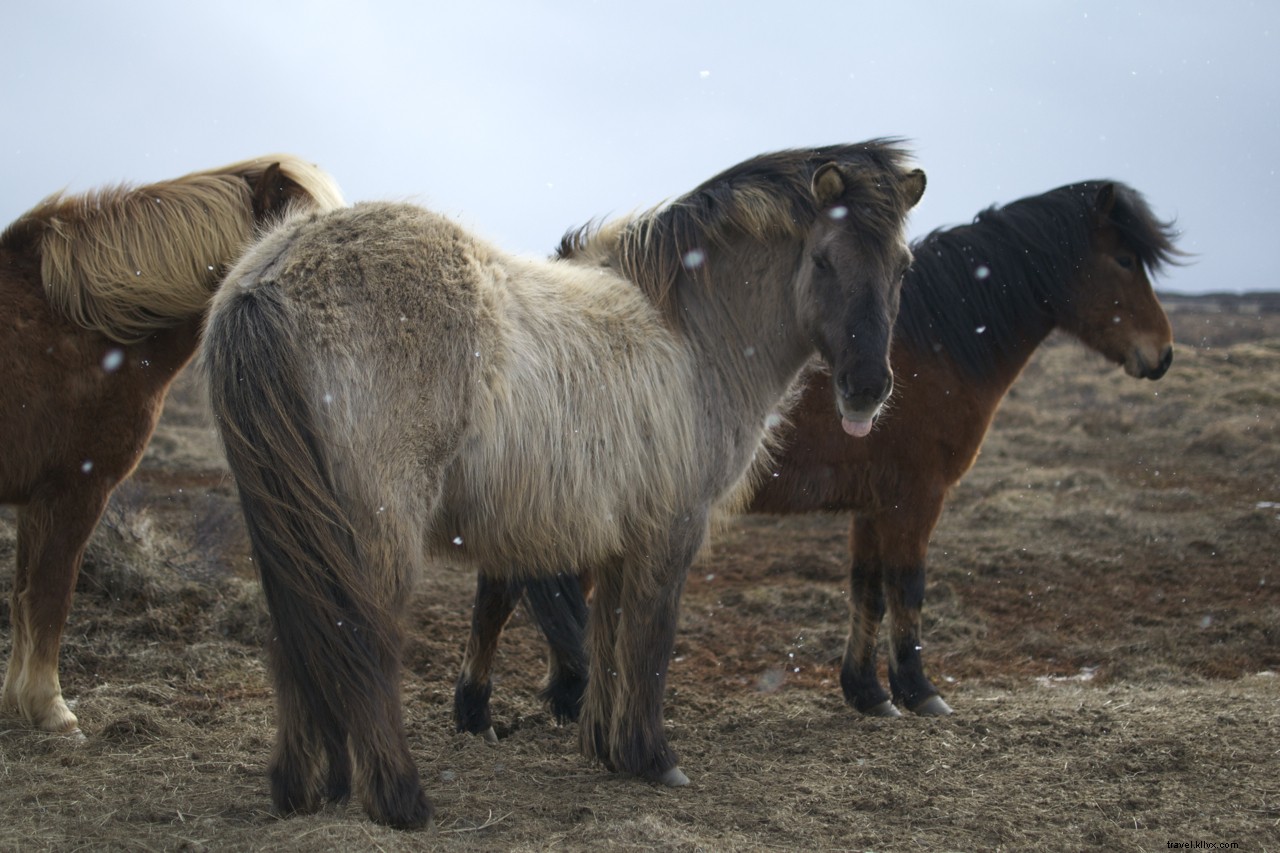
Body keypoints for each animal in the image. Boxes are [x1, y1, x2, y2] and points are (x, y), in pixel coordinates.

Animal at [0, 154, 345, 732]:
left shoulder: (37, 500)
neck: (89, 326)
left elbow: (23, 597)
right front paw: (52, 709)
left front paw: (16, 703)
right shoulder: (75, 490)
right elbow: (50, 595)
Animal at [197, 139, 921, 824]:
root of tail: (269, 274)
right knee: (357, 640)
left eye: (903, 267)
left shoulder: (619, 540)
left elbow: (610, 638)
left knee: (294, 642)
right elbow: (651, 640)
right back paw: (399, 800)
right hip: (372, 535)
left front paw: (606, 749)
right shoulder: (672, 530)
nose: (866, 389)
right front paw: (653, 757)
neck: (691, 336)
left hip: (300, 529)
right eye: (823, 260)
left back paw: (306, 790)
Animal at [458, 179, 1177, 732]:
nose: (1162, 354)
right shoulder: (917, 499)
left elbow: (868, 589)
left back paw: (509, 706)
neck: (940, 341)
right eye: (1122, 260)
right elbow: (908, 588)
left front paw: (868, 692)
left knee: (505, 588)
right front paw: (920, 692)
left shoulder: (876, 503)